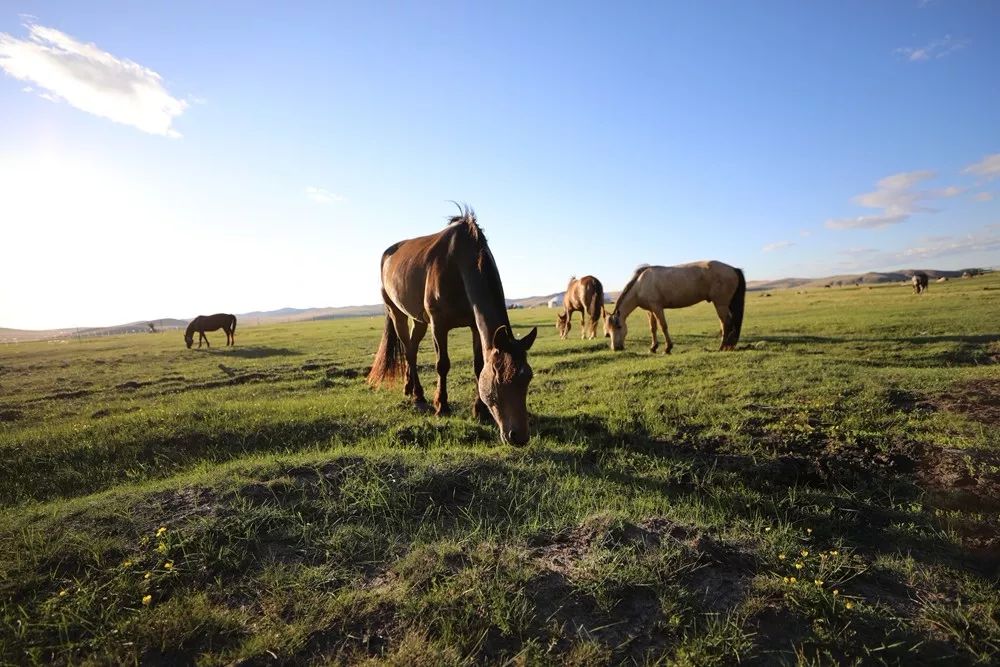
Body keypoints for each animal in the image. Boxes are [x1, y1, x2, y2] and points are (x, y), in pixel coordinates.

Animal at [368, 204, 540, 444]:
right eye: (498, 378)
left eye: (528, 378)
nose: (519, 437)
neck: (458, 263)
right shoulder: (439, 324)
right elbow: (443, 364)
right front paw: (442, 407)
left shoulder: (475, 326)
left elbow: (478, 365)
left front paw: (480, 411)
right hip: (397, 312)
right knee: (408, 350)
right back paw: (418, 396)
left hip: (419, 320)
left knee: (412, 347)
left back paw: (409, 388)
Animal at [604, 260, 748, 354]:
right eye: (607, 332)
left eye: (619, 326)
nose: (616, 348)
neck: (640, 284)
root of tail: (733, 269)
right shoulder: (650, 311)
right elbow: (653, 328)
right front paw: (653, 347)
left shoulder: (657, 307)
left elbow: (663, 326)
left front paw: (667, 348)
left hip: (720, 304)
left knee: (726, 323)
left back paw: (722, 347)